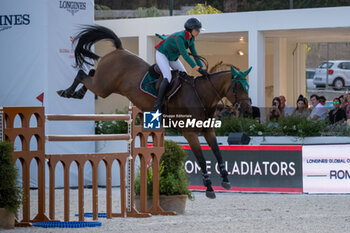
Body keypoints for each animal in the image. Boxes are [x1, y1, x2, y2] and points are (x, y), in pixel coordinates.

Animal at [58, 25, 253, 198]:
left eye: (247, 86)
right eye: (238, 87)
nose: (248, 109)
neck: (201, 95)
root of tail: (120, 50)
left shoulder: (208, 130)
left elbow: (218, 154)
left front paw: (226, 180)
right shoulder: (190, 133)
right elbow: (202, 160)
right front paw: (209, 188)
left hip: (102, 84)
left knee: (90, 72)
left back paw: (76, 93)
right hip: (104, 87)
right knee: (83, 74)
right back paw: (66, 92)